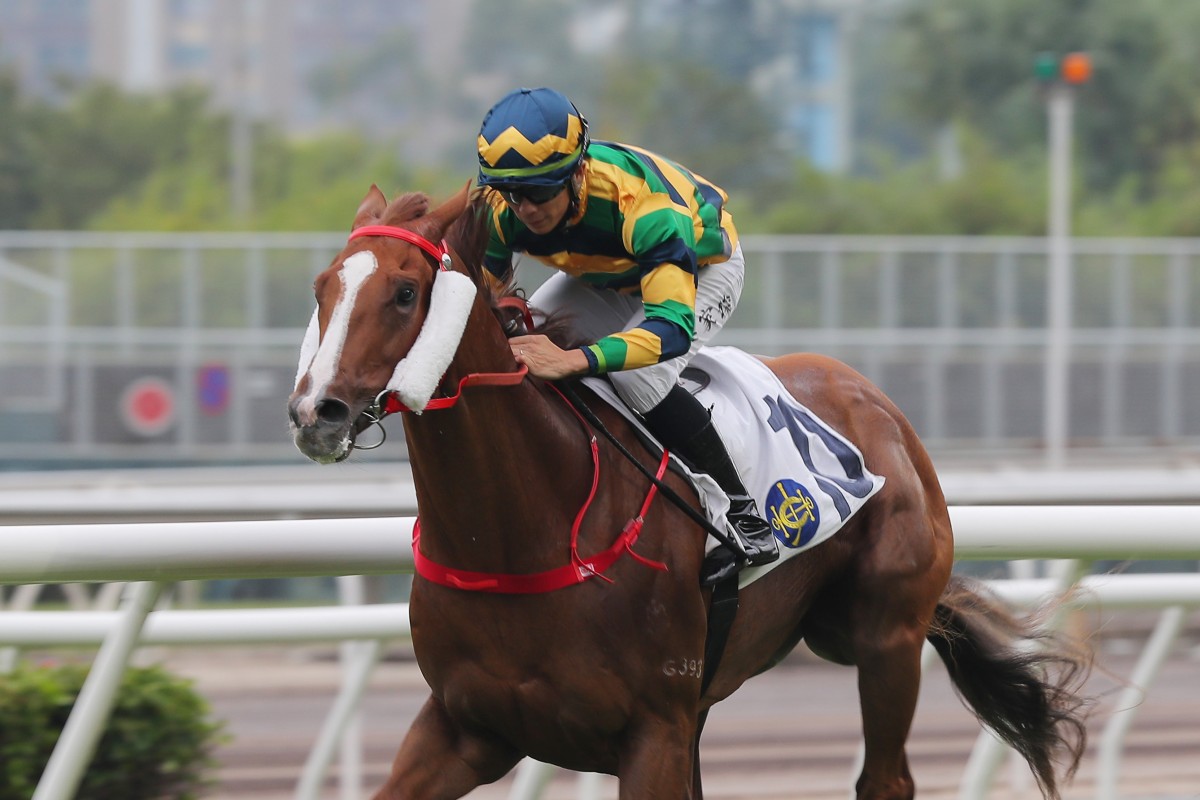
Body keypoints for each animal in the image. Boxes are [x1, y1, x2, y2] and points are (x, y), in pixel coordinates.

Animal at [288, 184, 1089, 796]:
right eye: (323, 287)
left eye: (404, 292)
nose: (316, 412)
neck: (523, 531)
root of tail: (881, 408)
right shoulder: (465, 726)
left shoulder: (654, 732)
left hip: (884, 638)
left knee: (885, 778)